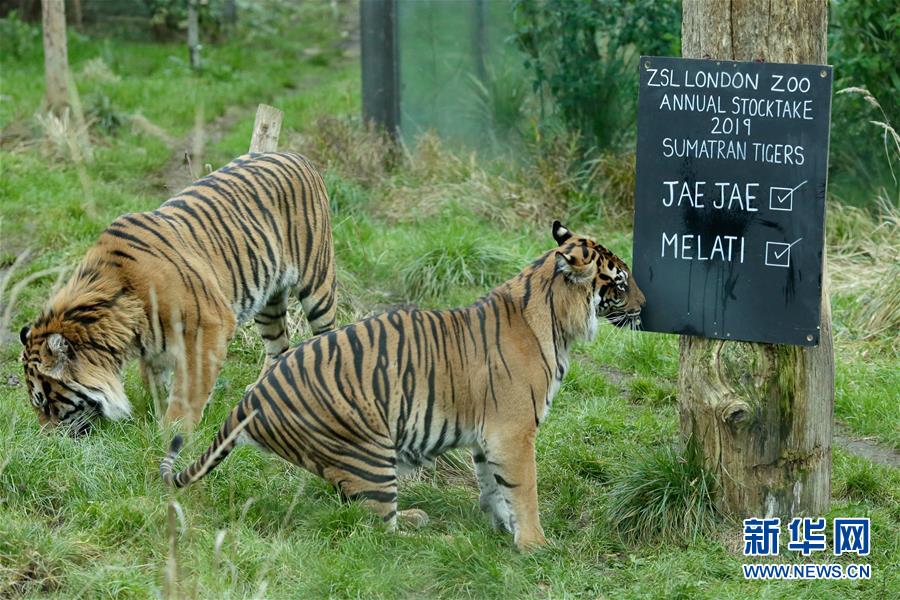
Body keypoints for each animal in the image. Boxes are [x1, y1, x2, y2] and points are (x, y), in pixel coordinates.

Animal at [20, 149, 338, 432]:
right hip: (269, 300)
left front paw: (174, 430)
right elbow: (156, 382)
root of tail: (295, 155)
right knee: (278, 343)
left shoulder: (210, 325)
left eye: (45, 402)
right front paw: (158, 413)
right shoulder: (154, 347)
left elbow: (190, 386)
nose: (48, 440)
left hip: (317, 281)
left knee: (327, 332)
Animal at [160, 220, 640, 548]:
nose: (645, 303)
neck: (555, 315)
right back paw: (430, 531)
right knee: (377, 530)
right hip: (369, 449)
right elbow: (524, 490)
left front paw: (501, 528)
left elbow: (492, 485)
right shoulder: (514, 432)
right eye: (619, 282)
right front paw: (535, 544)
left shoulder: (490, 435)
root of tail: (252, 398)